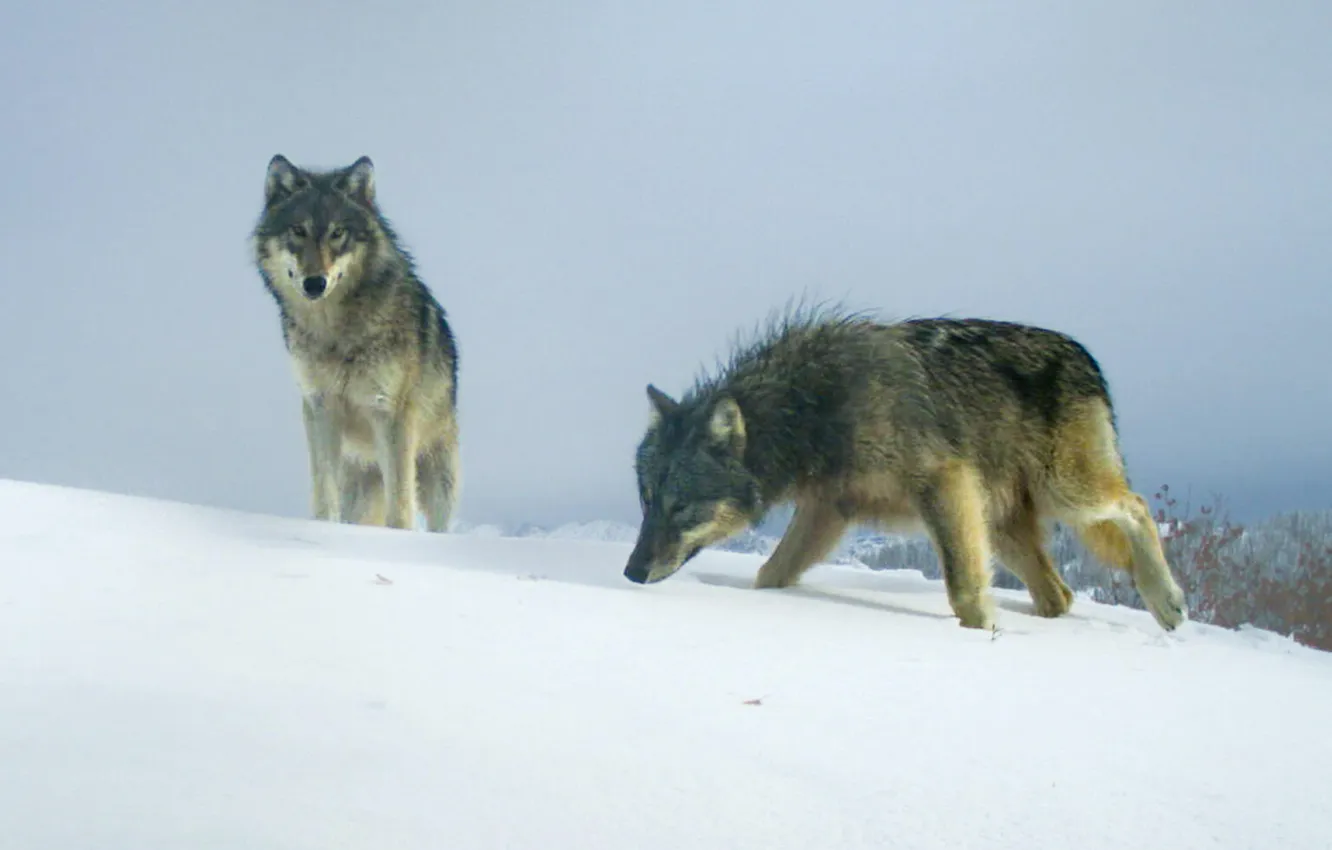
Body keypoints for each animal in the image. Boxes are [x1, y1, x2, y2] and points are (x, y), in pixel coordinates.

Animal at [251, 154, 460, 532]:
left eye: (338, 233)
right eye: (298, 231)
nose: (315, 283)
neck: (335, 333)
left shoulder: (390, 411)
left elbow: (400, 505)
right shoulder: (319, 406)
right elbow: (323, 490)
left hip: (439, 478)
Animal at [623, 306, 1188, 632]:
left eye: (681, 506)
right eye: (647, 502)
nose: (631, 573)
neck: (813, 408)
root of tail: (1084, 354)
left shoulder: (942, 482)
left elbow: (963, 586)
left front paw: (984, 634)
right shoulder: (828, 511)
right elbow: (770, 573)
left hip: (1067, 495)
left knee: (1137, 507)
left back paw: (1167, 602)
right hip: (1000, 524)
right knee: (1061, 595)